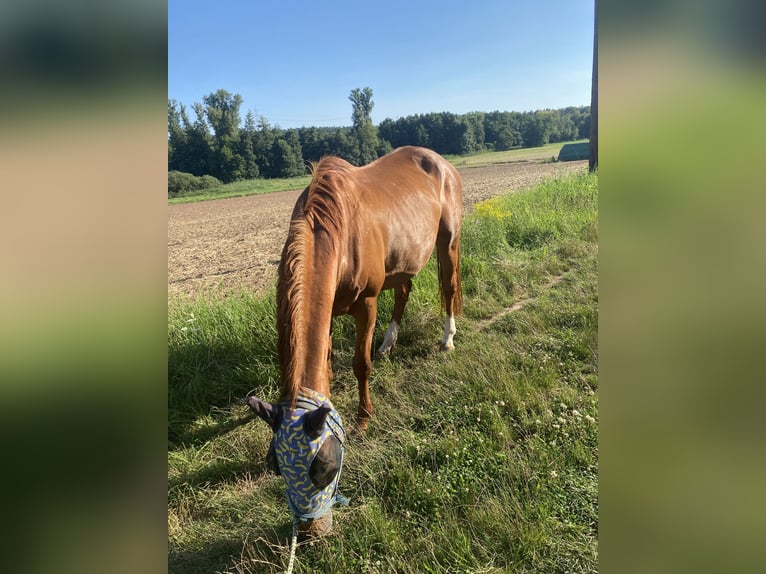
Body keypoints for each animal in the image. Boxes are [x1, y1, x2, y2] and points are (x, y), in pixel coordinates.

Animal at [248, 146, 462, 536]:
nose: (310, 533)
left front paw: (363, 419)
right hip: (403, 262)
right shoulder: (330, 310)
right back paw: (388, 344)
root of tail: (438, 160)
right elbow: (329, 368)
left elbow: (361, 364)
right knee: (404, 291)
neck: (340, 233)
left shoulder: (367, 304)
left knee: (450, 287)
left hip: (448, 240)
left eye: (325, 465)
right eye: (275, 465)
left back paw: (447, 339)